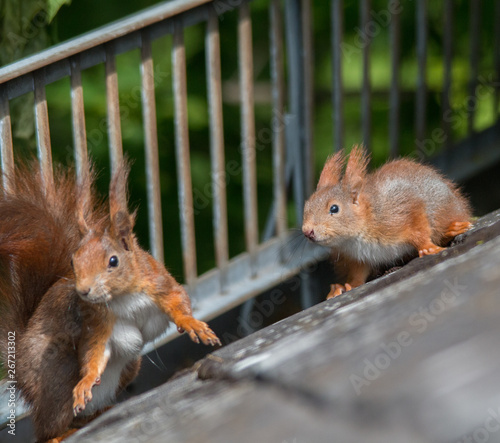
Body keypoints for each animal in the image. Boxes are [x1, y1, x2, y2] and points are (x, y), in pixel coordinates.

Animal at [0, 160, 220, 443]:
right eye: (73, 261)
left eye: (113, 261)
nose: (83, 291)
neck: (123, 296)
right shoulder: (96, 321)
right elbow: (93, 353)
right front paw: (87, 380)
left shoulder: (159, 283)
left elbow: (179, 302)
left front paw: (193, 325)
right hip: (58, 374)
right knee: (45, 428)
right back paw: (61, 432)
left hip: (130, 367)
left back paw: (100, 411)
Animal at [300, 147, 472, 300]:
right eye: (306, 206)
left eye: (334, 208)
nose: (307, 231)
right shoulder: (357, 258)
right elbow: (358, 274)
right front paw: (348, 286)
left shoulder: (405, 208)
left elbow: (419, 231)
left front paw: (428, 248)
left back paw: (453, 229)